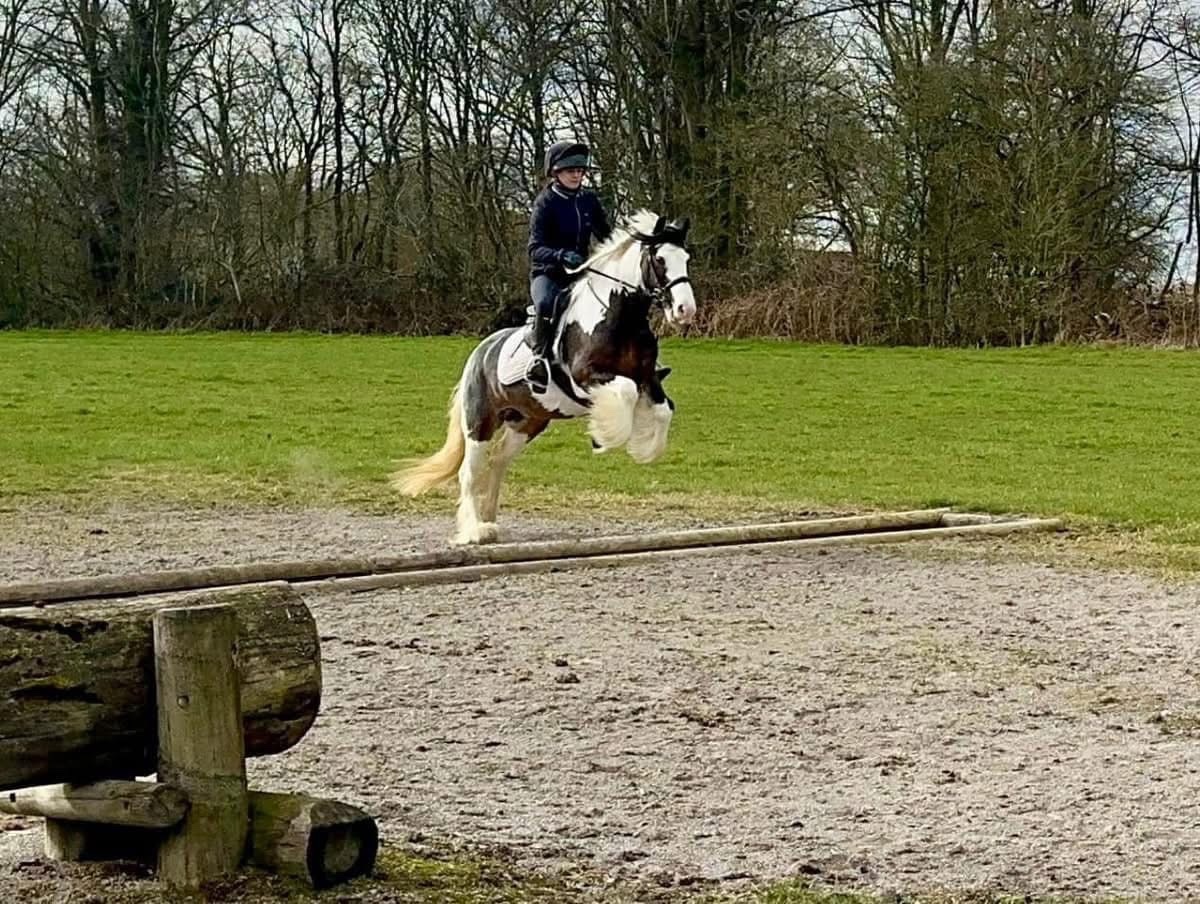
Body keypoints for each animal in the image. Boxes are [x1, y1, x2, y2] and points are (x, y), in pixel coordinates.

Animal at [391, 210, 697, 545]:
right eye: (659, 260)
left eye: (686, 258)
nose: (685, 310)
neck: (618, 316)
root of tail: (479, 353)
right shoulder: (586, 376)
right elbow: (626, 393)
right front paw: (604, 437)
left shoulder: (647, 378)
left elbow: (663, 409)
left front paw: (644, 448)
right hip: (480, 421)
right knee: (469, 472)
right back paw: (475, 530)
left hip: (528, 422)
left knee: (498, 461)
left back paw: (489, 518)